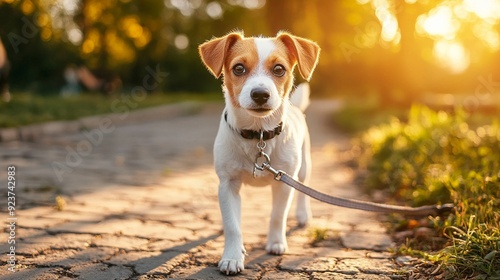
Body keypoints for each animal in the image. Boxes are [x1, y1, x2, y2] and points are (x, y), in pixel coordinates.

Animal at [197, 30, 318, 274]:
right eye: (238, 68)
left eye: (279, 69)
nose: (260, 94)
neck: (258, 134)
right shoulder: (228, 183)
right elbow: (233, 225)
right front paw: (232, 256)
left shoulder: (284, 182)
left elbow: (278, 216)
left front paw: (276, 243)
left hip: (303, 168)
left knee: (303, 190)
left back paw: (302, 214)